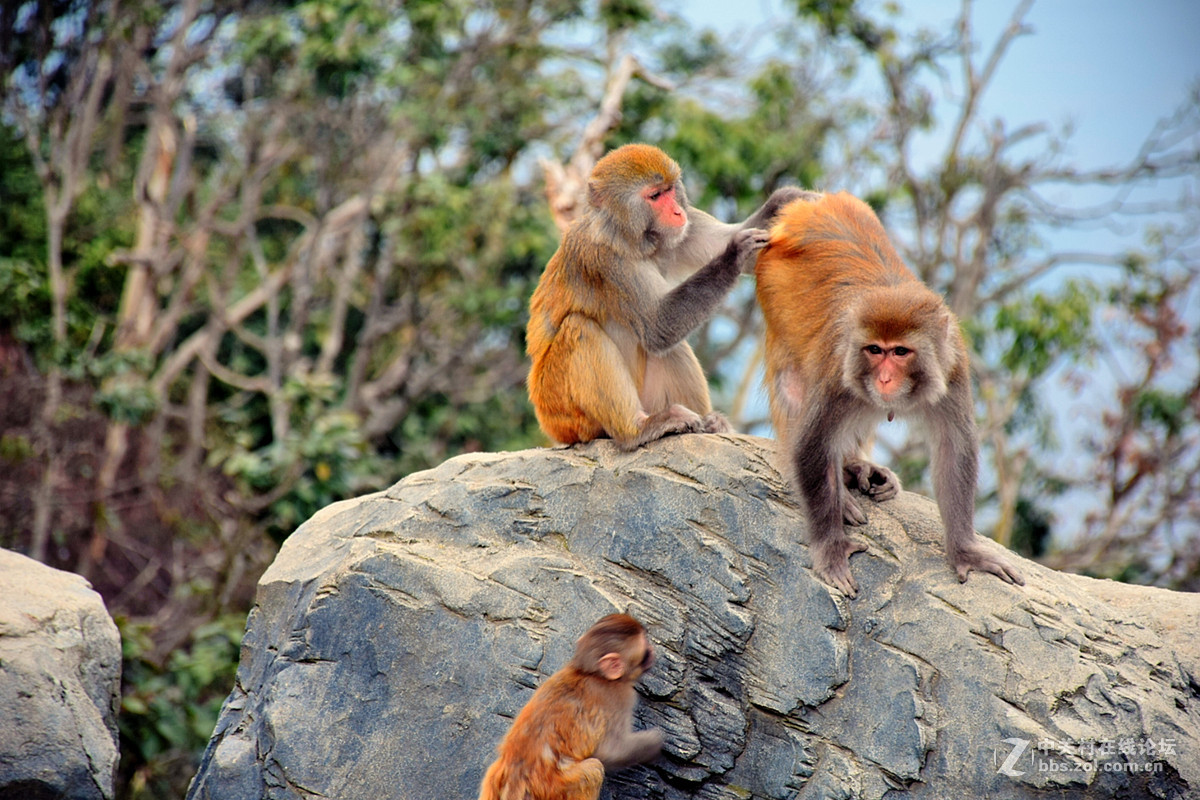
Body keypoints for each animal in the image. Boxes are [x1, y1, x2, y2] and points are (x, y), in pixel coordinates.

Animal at [480, 614, 667, 800]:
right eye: (645, 652)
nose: (652, 651)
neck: (590, 673)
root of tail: (516, 776)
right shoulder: (620, 696)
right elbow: (610, 751)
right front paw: (655, 743)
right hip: (555, 788)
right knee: (594, 768)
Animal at [528, 143, 816, 450]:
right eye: (655, 196)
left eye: (669, 190)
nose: (678, 212)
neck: (635, 239)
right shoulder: (604, 260)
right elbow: (658, 326)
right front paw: (734, 254)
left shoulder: (690, 226)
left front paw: (786, 200)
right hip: (565, 412)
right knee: (580, 328)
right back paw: (636, 430)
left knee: (672, 347)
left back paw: (709, 424)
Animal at [753, 190, 1027, 597]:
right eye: (874, 350)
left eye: (900, 352)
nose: (883, 379)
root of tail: (814, 205)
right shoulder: (837, 369)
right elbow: (811, 445)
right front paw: (830, 547)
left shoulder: (953, 367)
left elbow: (953, 448)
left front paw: (965, 550)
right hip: (772, 287)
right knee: (792, 387)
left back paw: (857, 466)